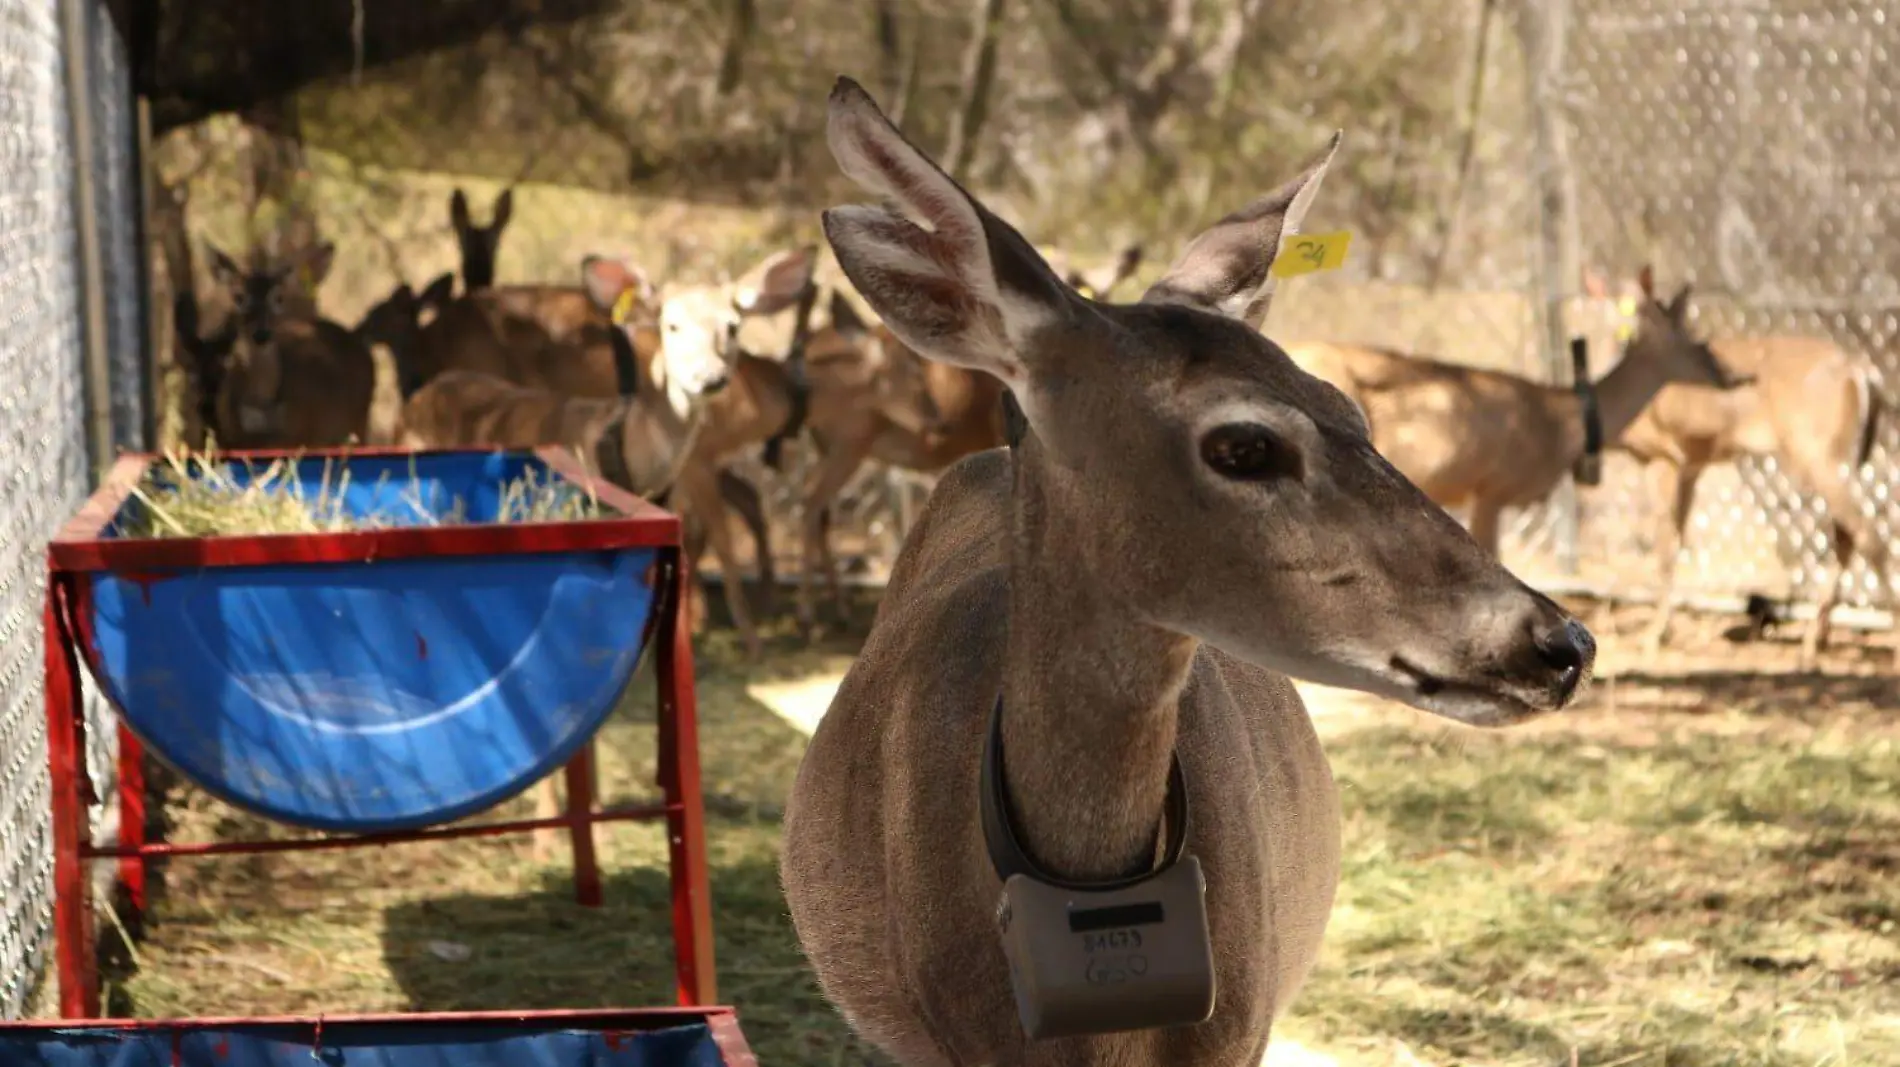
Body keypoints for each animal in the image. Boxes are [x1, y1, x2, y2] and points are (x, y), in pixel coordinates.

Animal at [1611, 269, 1892, 660]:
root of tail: (1861, 372)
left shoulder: (1663, 457)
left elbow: (1665, 545)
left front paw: (1653, 637)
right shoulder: (1692, 464)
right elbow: (1678, 540)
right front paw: (1662, 630)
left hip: (1814, 451)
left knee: (1866, 534)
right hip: (1834, 456)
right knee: (1848, 534)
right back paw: (1815, 640)